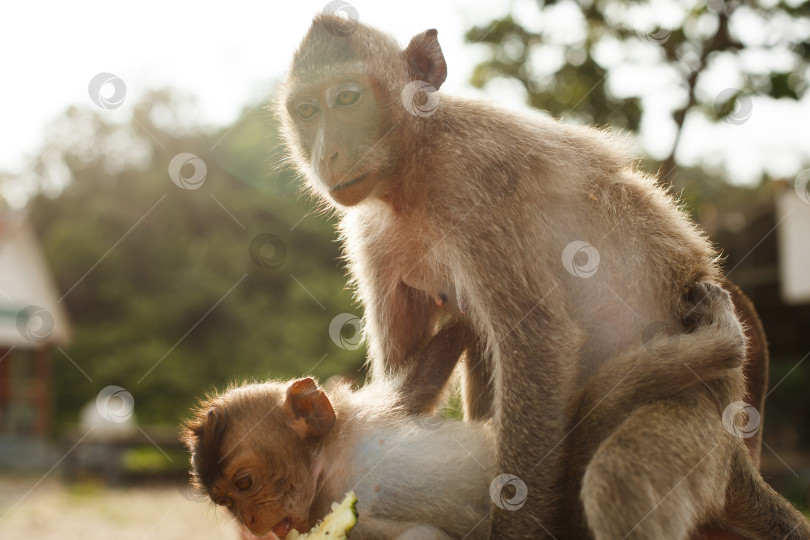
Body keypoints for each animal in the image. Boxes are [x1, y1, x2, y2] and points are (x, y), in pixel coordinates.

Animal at [274, 14, 800, 536]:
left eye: (347, 98)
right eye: (307, 111)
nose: (326, 155)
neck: (413, 168)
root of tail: (737, 458)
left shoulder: (473, 183)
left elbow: (537, 340)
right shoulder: (369, 231)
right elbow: (406, 373)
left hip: (699, 426)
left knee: (618, 476)